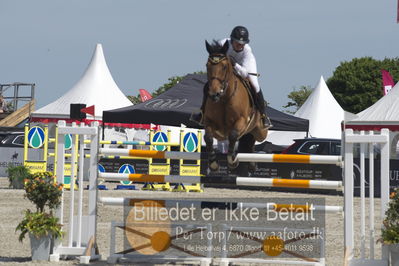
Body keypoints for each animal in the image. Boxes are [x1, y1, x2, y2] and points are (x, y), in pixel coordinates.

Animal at [203, 40, 268, 171]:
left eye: (224, 67)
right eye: (207, 66)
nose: (214, 94)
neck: (224, 98)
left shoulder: (241, 121)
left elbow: (233, 135)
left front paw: (232, 160)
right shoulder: (209, 121)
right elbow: (208, 137)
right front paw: (213, 163)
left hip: (260, 131)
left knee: (256, 140)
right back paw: (251, 164)